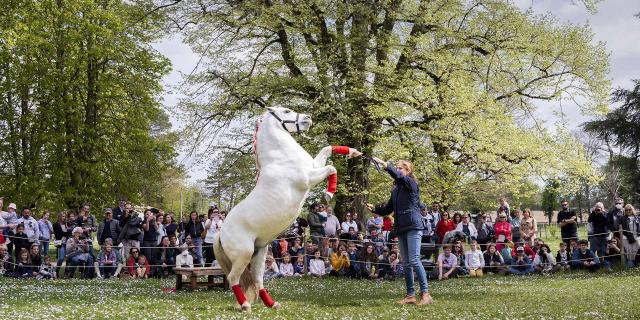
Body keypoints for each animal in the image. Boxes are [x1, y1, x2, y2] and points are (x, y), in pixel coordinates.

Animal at [215, 106, 360, 312]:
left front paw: (353, 152)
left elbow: (326, 149)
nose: (308, 118)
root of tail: (221, 233)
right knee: (233, 278)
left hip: (259, 253)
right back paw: (245, 305)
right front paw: (328, 194)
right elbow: (332, 168)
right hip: (243, 255)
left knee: (257, 280)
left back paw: (272, 304)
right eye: (286, 111)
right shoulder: (308, 178)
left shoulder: (314, 166)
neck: (281, 157)